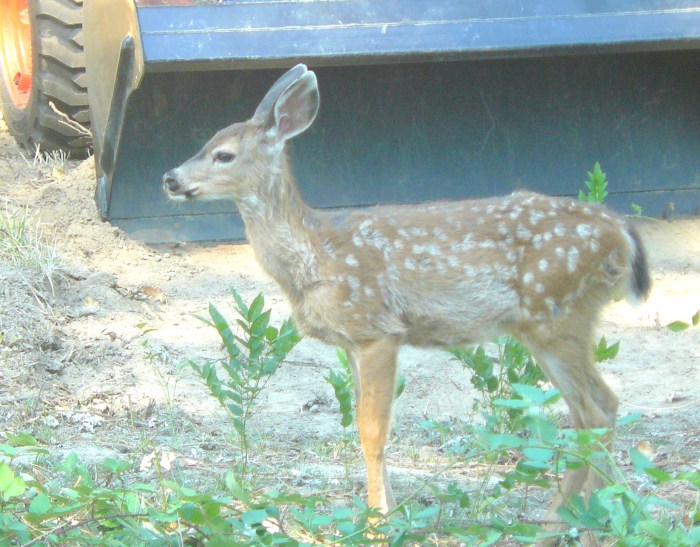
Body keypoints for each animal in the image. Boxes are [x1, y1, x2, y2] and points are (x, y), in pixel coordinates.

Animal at [163, 64, 651, 542]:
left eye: (224, 154)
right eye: (205, 142)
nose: (170, 177)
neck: (314, 256)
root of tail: (622, 233)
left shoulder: (377, 328)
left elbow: (372, 429)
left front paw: (377, 524)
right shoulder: (351, 341)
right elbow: (365, 425)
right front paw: (389, 518)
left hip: (557, 312)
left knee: (599, 410)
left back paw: (579, 524)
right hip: (547, 324)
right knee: (593, 411)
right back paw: (569, 525)